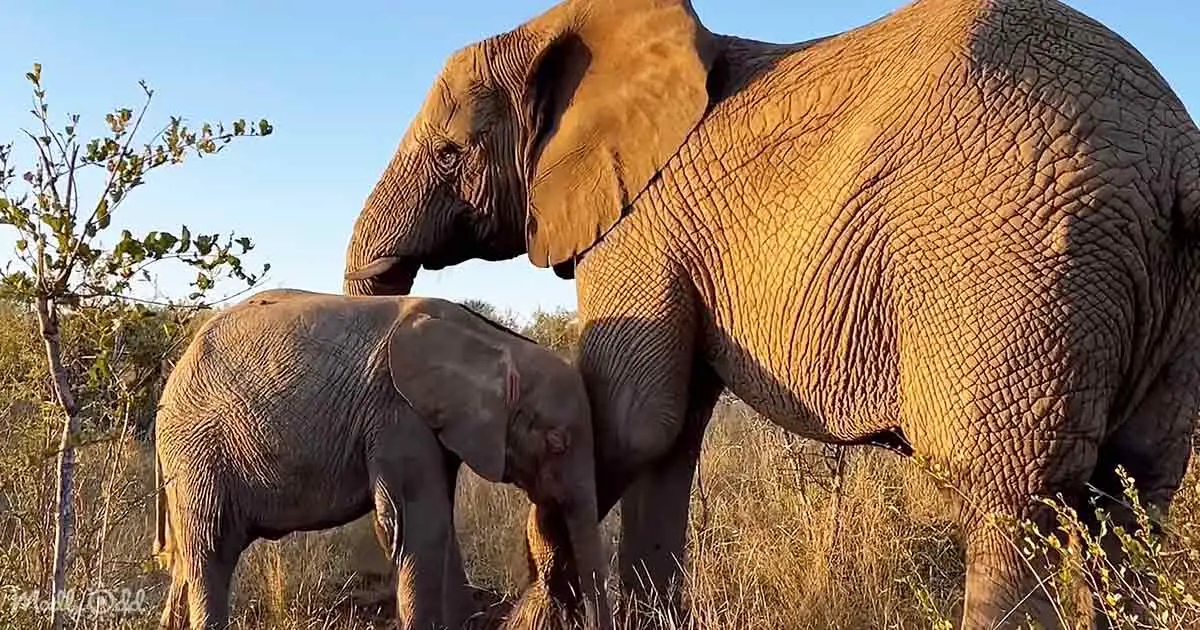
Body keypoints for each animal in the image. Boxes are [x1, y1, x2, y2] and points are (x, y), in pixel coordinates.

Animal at [152, 290, 609, 628]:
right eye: (556, 442)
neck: (494, 341)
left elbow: (438, 523)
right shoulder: (398, 415)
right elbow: (416, 527)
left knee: (187, 564)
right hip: (197, 453)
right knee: (210, 550)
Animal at [343, 0, 1195, 624]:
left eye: (450, 154)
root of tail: (1173, 153)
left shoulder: (640, 227)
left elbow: (632, 420)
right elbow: (670, 436)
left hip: (1011, 265)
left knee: (1013, 500)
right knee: (1133, 499)